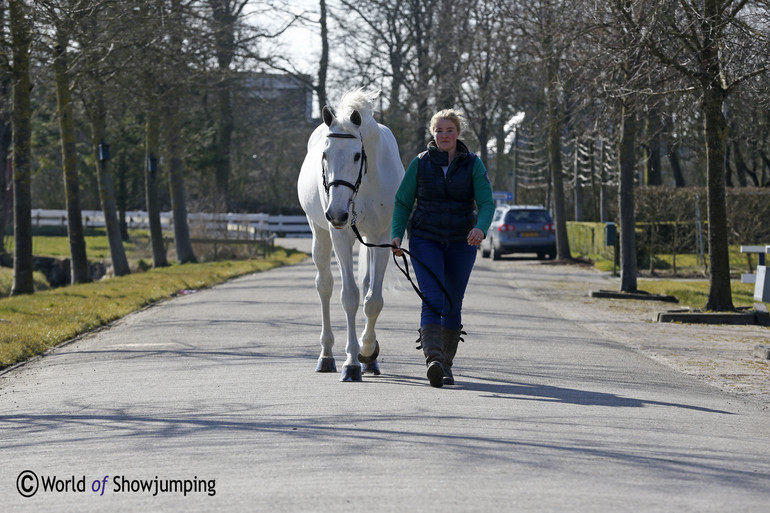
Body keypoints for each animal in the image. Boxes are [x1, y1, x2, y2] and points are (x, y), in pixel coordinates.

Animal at [296, 90, 404, 382]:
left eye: (357, 155)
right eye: (325, 154)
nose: (336, 213)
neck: (362, 184)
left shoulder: (381, 236)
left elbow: (373, 300)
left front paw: (367, 352)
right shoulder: (341, 237)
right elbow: (350, 297)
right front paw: (352, 362)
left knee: (366, 285)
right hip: (320, 234)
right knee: (325, 286)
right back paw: (327, 356)